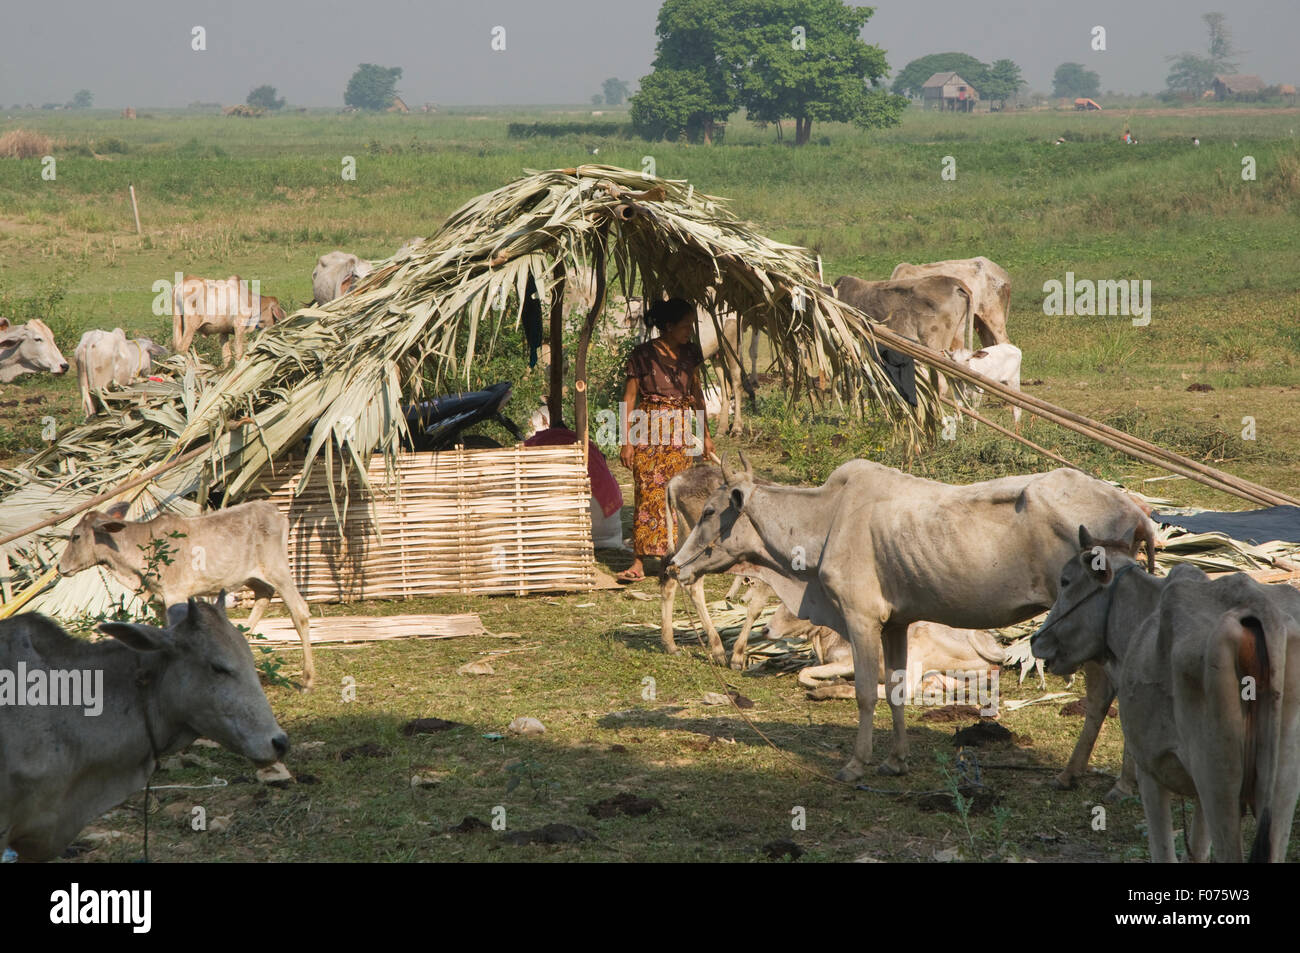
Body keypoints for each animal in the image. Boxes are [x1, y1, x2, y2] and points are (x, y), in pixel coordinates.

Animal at [59, 499, 315, 691]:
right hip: (253, 577)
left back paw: (307, 681)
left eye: (76, 536)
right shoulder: (159, 600)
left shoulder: (175, 594)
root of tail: (276, 512)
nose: (60, 567)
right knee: (263, 596)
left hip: (278, 570)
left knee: (299, 611)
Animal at [670, 455, 1159, 790]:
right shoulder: (895, 624)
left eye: (710, 512)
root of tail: (1133, 510)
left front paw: (856, 764)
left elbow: (866, 692)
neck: (825, 520)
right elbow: (897, 689)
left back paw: (1094, 777)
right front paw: (896, 760)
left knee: (1105, 693)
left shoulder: (861, 618)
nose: (674, 564)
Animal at [1029, 527, 1294, 863]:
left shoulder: (1150, 772)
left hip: (1219, 785)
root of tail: (1259, 609)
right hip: (1280, 790)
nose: (1036, 640)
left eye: (1065, 580)